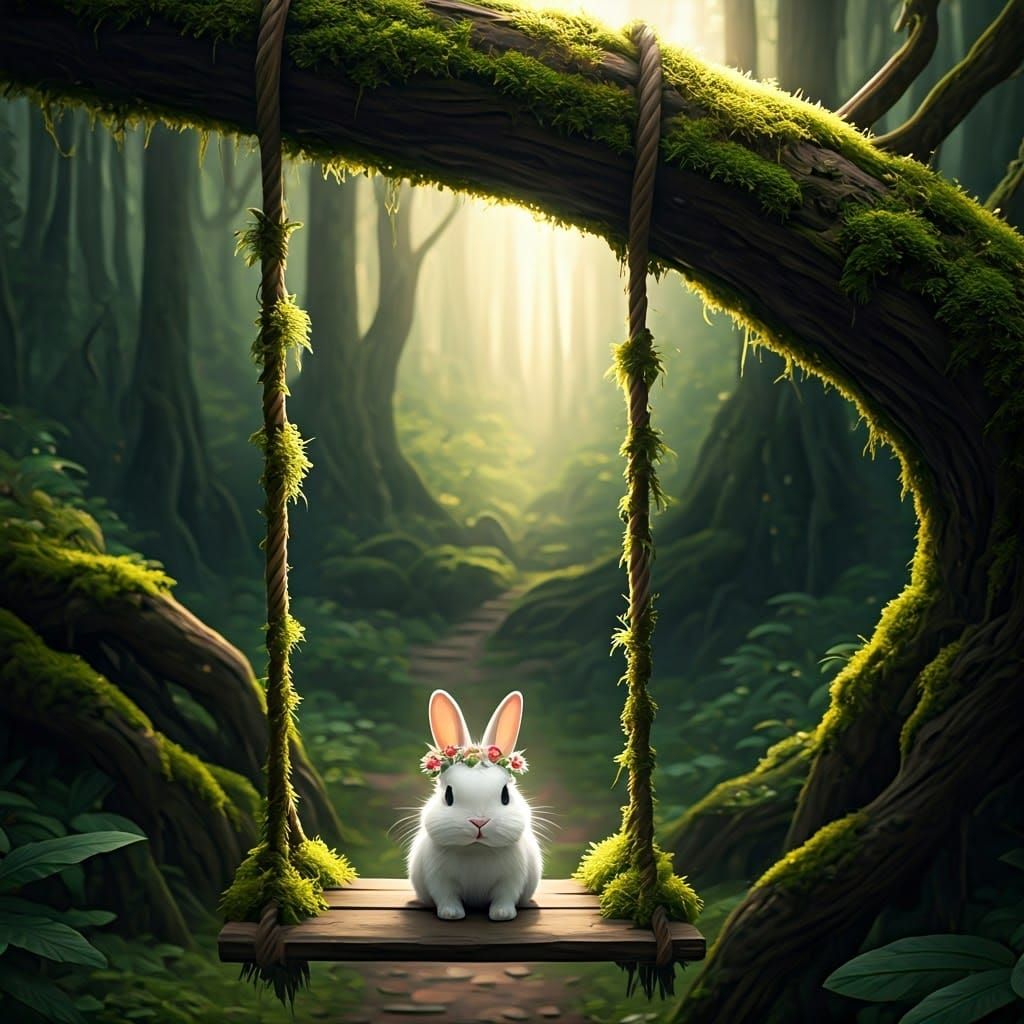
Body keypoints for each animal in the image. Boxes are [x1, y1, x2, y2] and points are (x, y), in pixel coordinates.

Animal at [407, 689, 542, 921]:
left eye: (505, 796)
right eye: (448, 795)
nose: (479, 822)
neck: (477, 850)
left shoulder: (511, 879)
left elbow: (505, 896)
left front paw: (502, 914)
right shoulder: (439, 879)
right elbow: (446, 897)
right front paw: (451, 914)